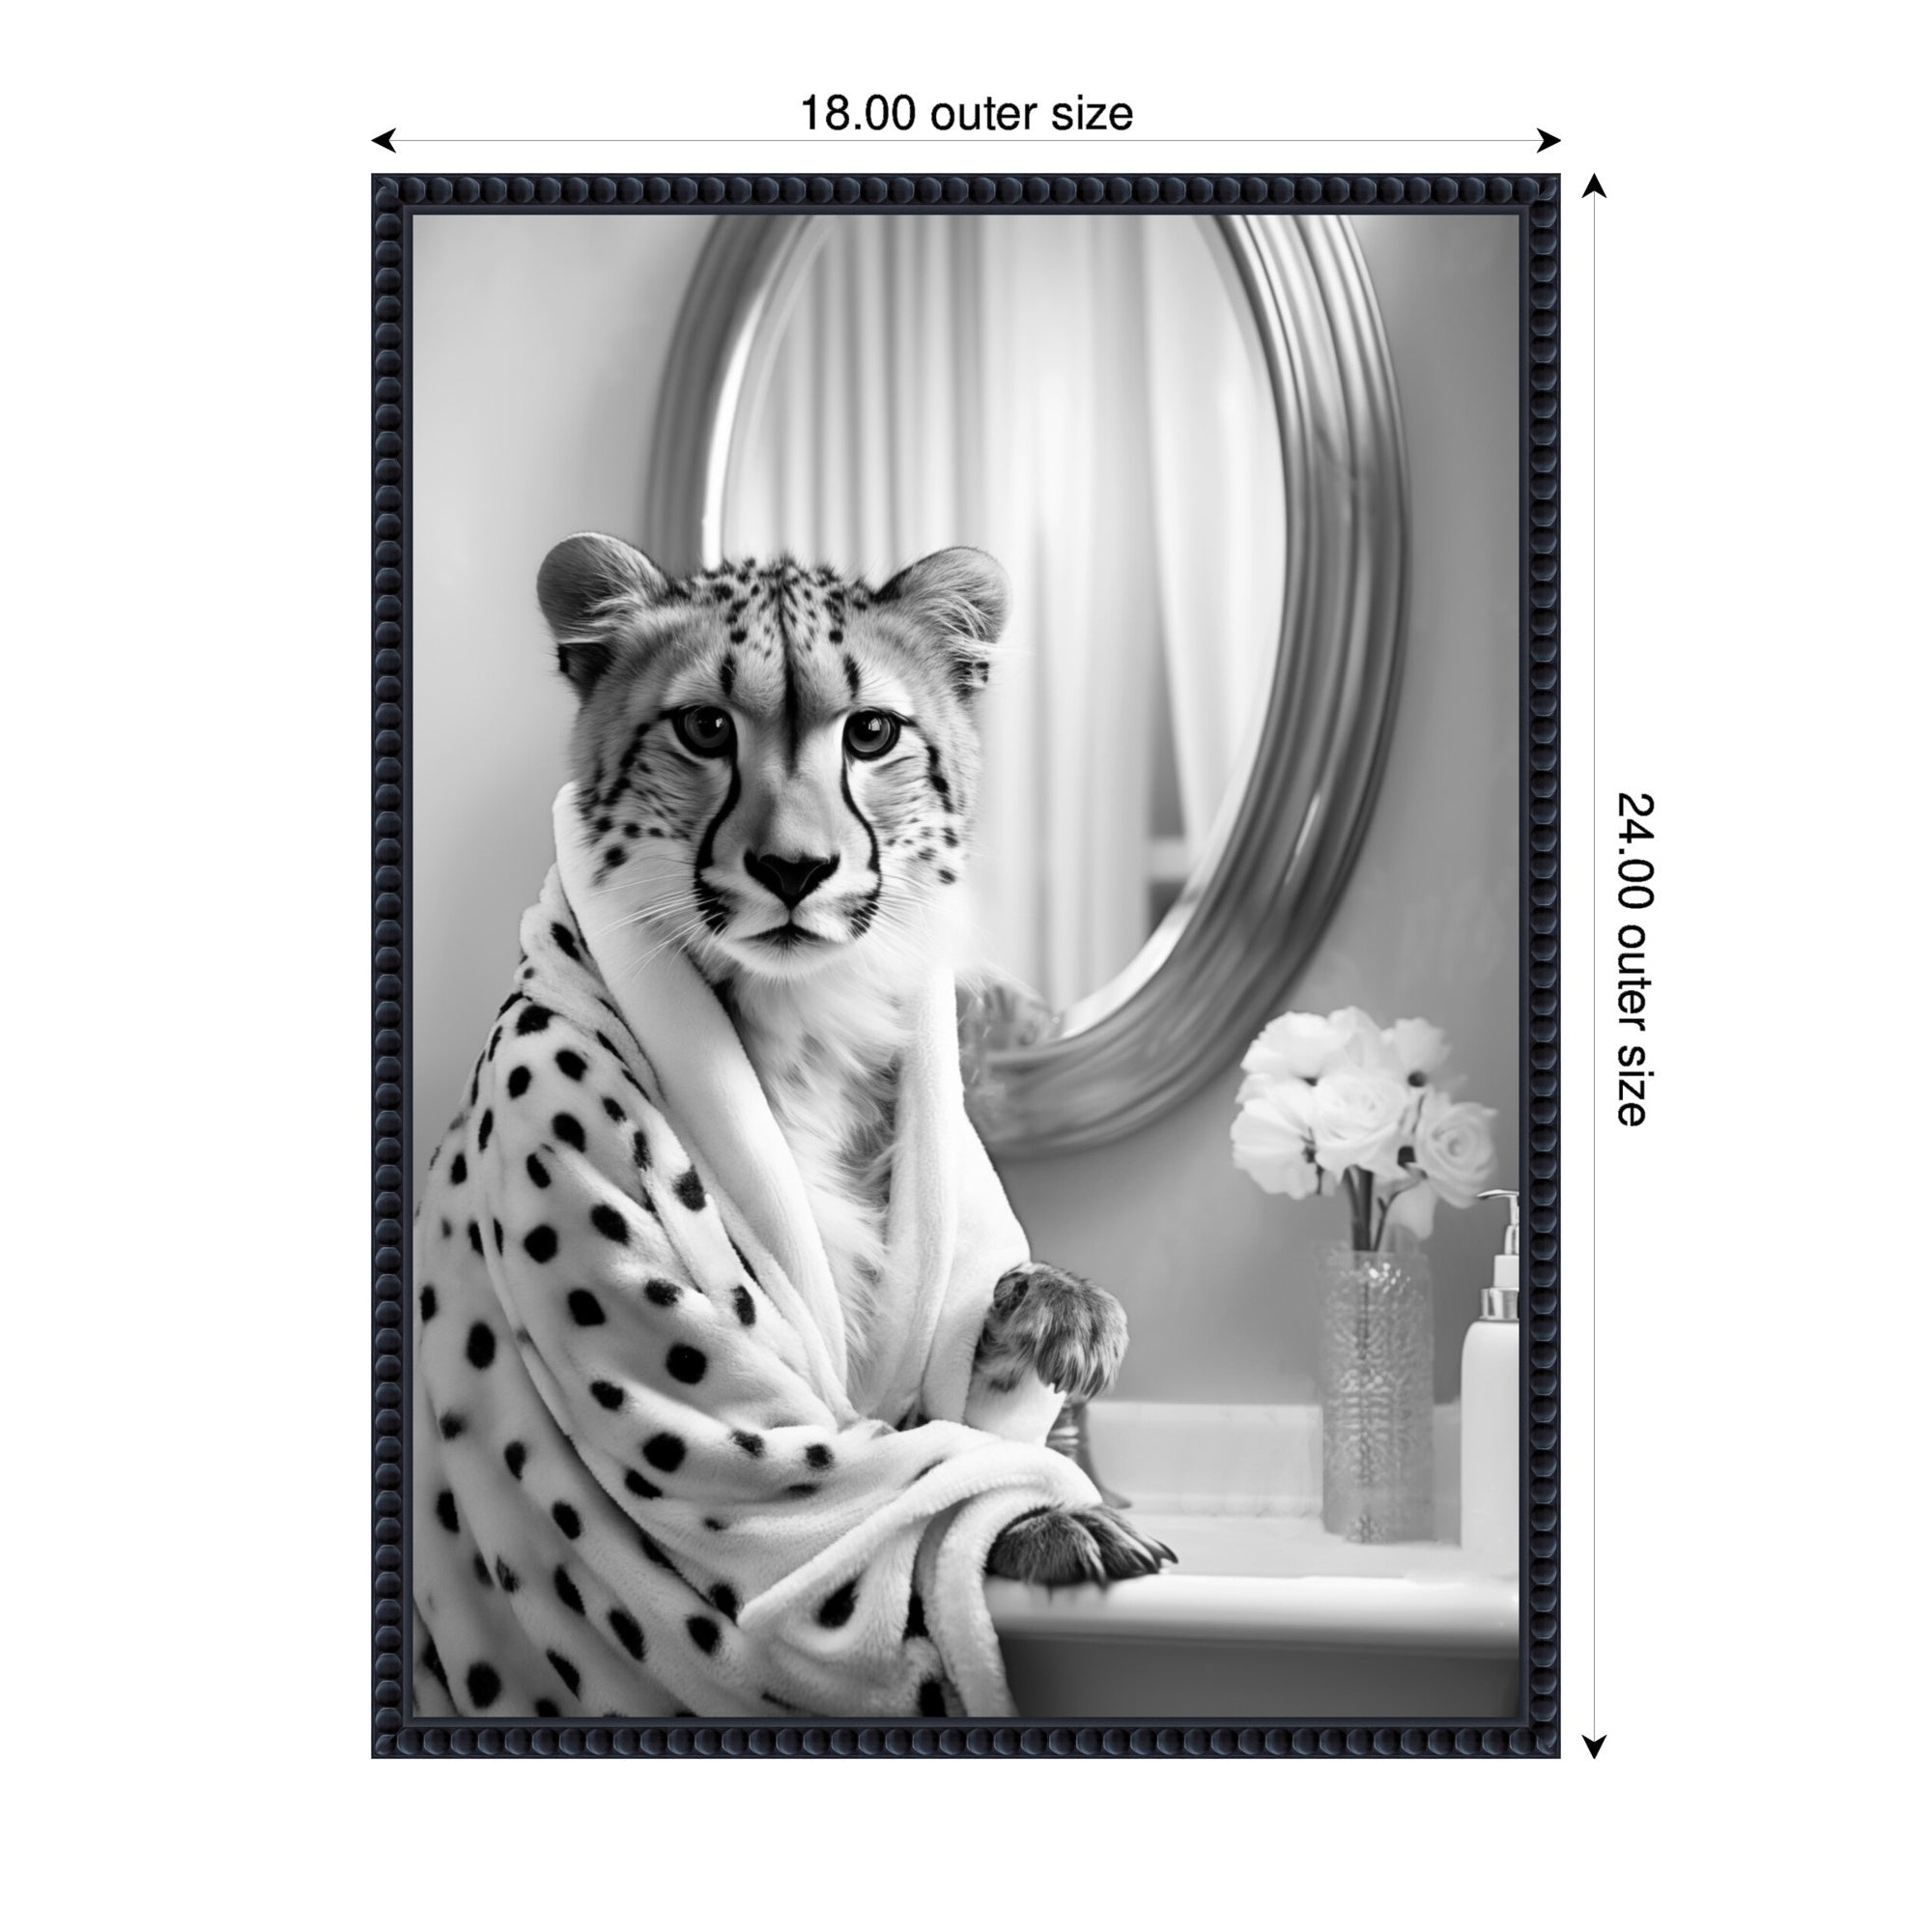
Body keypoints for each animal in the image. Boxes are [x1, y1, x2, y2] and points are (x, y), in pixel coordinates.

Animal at [536, 532, 1173, 1588]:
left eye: (870, 733)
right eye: (705, 727)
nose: (794, 869)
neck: (804, 1018)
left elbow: (961, 1408)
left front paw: (1063, 1312)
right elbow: (885, 1482)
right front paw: (1047, 1522)